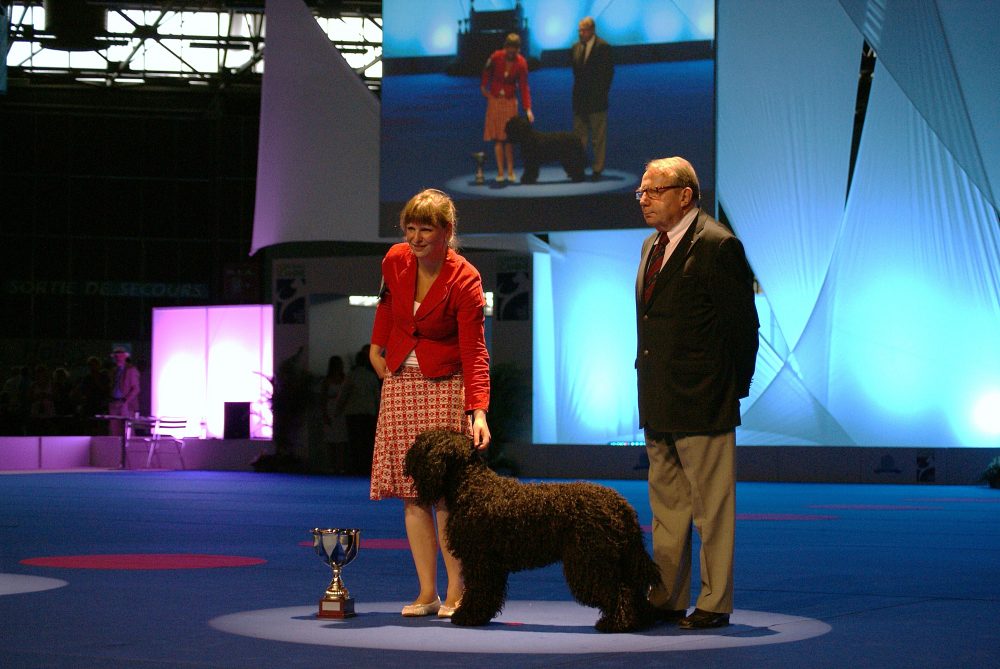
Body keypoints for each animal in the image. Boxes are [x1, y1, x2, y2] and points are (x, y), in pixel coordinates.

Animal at [403, 429, 661, 632]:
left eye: (423, 443)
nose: (405, 458)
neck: (473, 486)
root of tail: (620, 504)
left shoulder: (480, 560)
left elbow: (477, 590)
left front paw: (467, 616)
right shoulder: (491, 565)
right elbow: (488, 593)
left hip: (590, 562)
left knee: (619, 591)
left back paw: (616, 624)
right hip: (617, 560)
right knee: (634, 591)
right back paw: (642, 620)